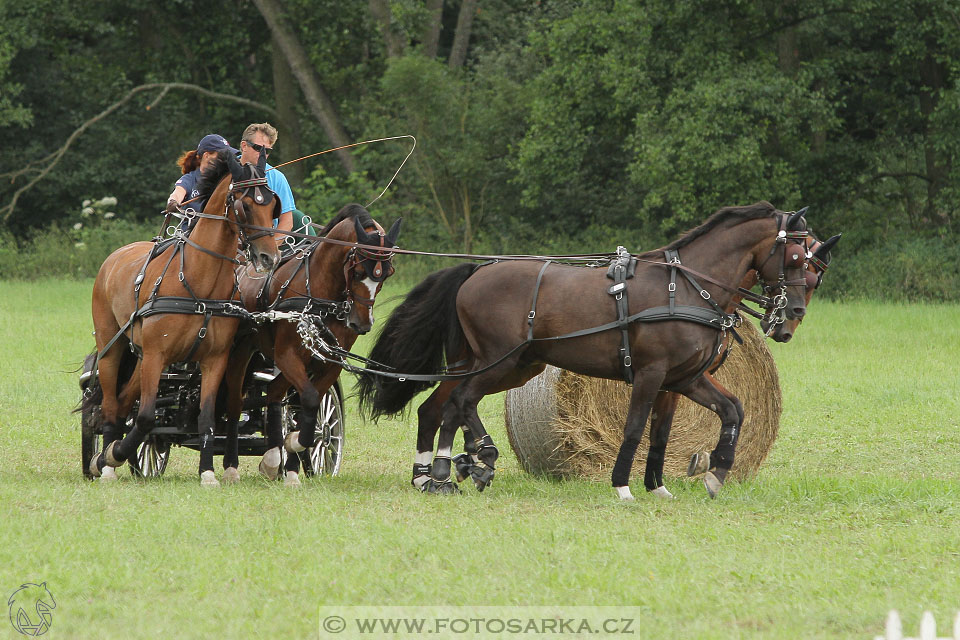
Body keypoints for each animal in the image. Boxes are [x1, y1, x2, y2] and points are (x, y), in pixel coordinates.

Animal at [85, 149, 282, 484]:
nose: (270, 257)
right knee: (110, 405)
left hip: (140, 357)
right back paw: (106, 462)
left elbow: (206, 418)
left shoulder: (214, 360)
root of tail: (115, 256)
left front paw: (208, 473)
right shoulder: (157, 355)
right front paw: (113, 454)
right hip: (113, 347)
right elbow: (146, 417)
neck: (198, 283)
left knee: (124, 402)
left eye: (271, 204)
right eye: (244, 205)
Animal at [222, 205, 402, 484]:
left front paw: (296, 448)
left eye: (388, 273)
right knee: (234, 402)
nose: (362, 323)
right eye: (358, 272)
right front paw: (295, 443)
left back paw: (275, 461)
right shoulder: (286, 354)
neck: (320, 297)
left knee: (274, 393)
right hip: (241, 353)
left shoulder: (330, 362)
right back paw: (232, 466)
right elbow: (308, 397)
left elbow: (312, 403)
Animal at [356, 200, 812, 500]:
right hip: (496, 361)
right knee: (462, 401)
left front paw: (702, 476)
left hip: (503, 366)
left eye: (812, 260)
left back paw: (443, 472)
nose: (793, 314)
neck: (685, 287)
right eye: (796, 256)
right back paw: (478, 457)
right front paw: (623, 485)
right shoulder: (651, 374)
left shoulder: (684, 380)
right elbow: (634, 428)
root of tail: (476, 270)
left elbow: (718, 415)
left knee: (442, 407)